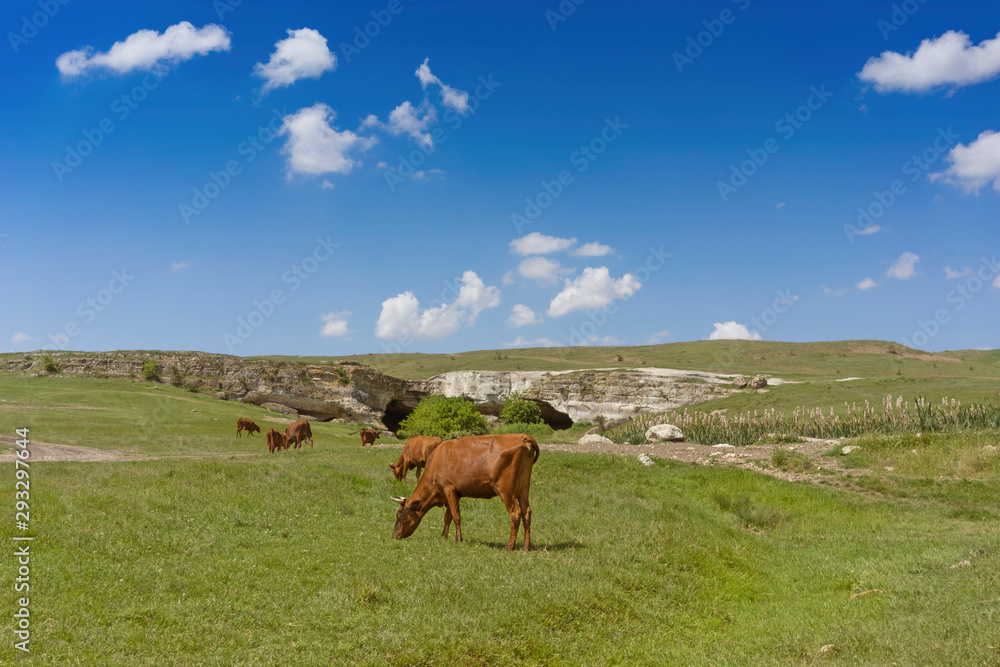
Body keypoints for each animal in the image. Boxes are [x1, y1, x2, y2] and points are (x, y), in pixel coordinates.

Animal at [391, 434, 539, 551]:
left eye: (399, 516)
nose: (394, 536)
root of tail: (522, 437)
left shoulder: (449, 489)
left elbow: (456, 516)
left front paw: (458, 539)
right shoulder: (453, 493)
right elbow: (448, 516)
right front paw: (443, 536)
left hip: (506, 491)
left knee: (515, 513)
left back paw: (509, 547)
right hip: (523, 489)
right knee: (526, 513)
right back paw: (527, 547)